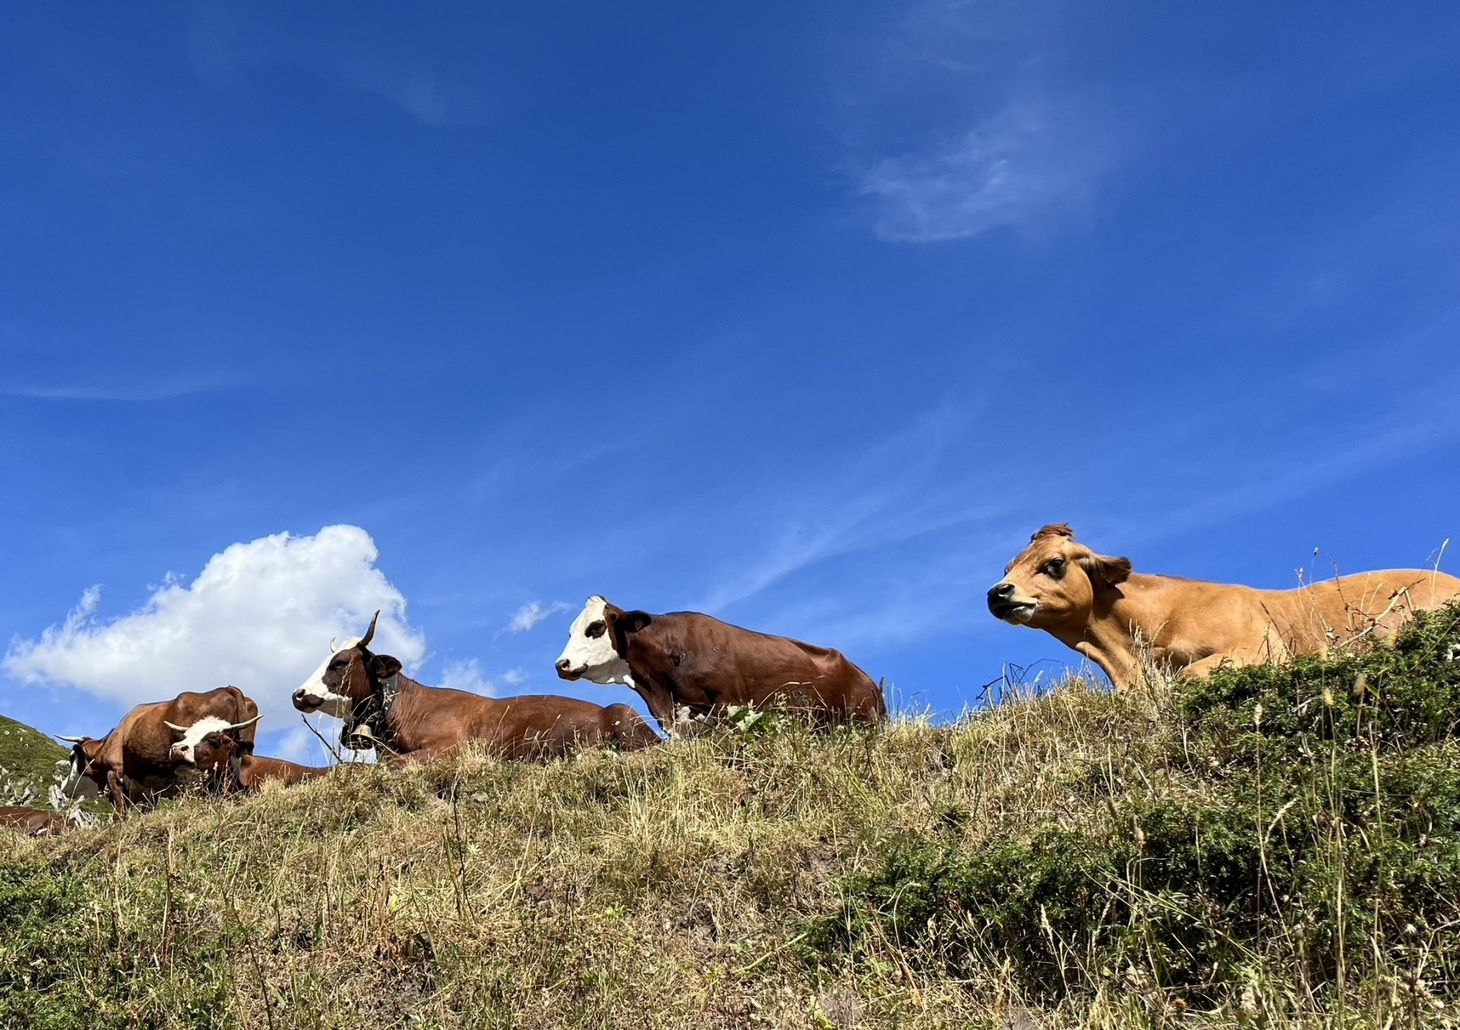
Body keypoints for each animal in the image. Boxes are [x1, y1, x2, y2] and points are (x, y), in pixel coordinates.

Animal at [58, 686, 262, 818]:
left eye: (72, 758)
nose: (64, 789)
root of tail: (229, 688)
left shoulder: (115, 775)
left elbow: (120, 814)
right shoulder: (150, 790)